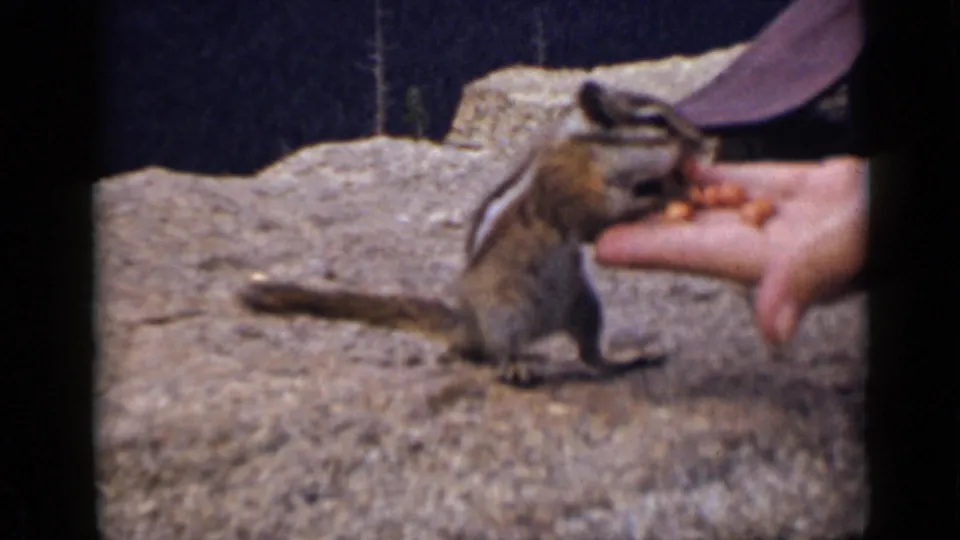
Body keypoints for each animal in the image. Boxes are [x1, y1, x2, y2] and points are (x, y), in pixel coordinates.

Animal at [237, 80, 718, 388]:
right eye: (656, 121)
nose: (702, 140)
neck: (591, 148)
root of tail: (469, 326)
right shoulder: (570, 190)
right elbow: (597, 217)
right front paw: (671, 193)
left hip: (584, 304)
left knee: (590, 355)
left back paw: (626, 360)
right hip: (507, 310)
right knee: (501, 351)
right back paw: (516, 365)